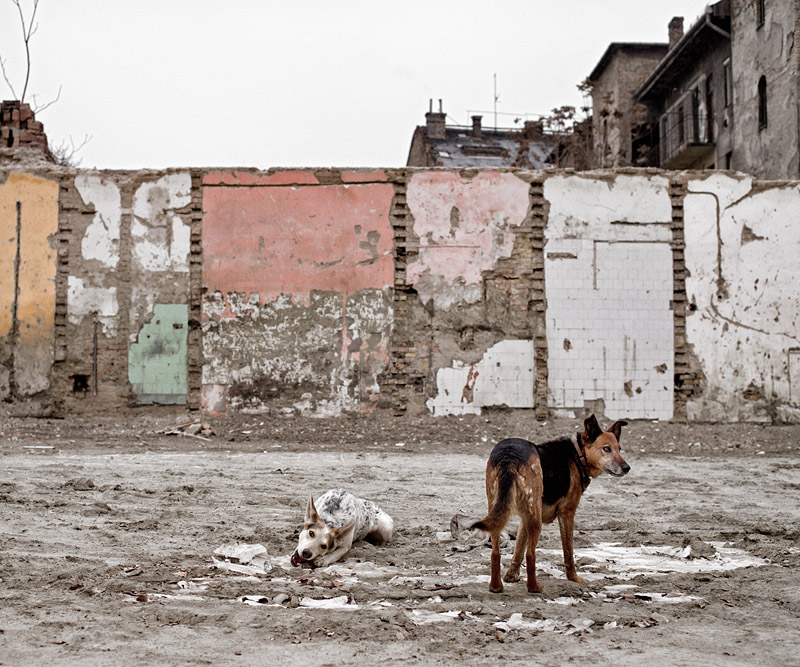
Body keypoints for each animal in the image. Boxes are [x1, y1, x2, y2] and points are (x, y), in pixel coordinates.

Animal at [468, 418, 632, 596]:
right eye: (606, 449)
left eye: (619, 449)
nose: (627, 468)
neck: (578, 455)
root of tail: (509, 455)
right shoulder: (567, 514)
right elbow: (568, 553)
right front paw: (573, 578)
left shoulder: (525, 517)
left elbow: (518, 550)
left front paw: (511, 576)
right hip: (536, 519)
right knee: (531, 554)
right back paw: (534, 587)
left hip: (501, 510)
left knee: (495, 552)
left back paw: (496, 586)